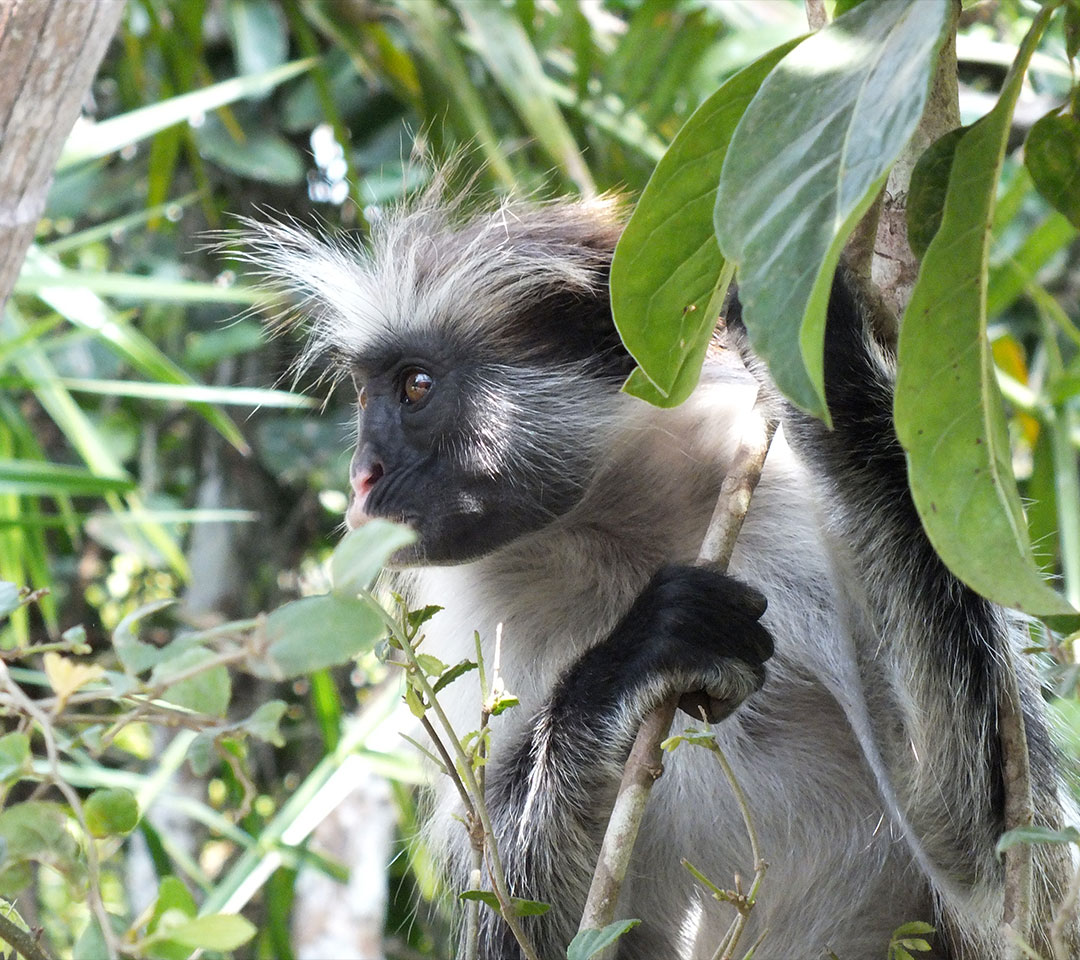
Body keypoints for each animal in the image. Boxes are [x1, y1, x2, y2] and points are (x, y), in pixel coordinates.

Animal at [240, 185, 1075, 958]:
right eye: (365, 395)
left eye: (414, 387)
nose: (362, 476)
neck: (612, 535)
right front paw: (632, 659)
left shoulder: (795, 524)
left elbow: (996, 859)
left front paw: (823, 340)